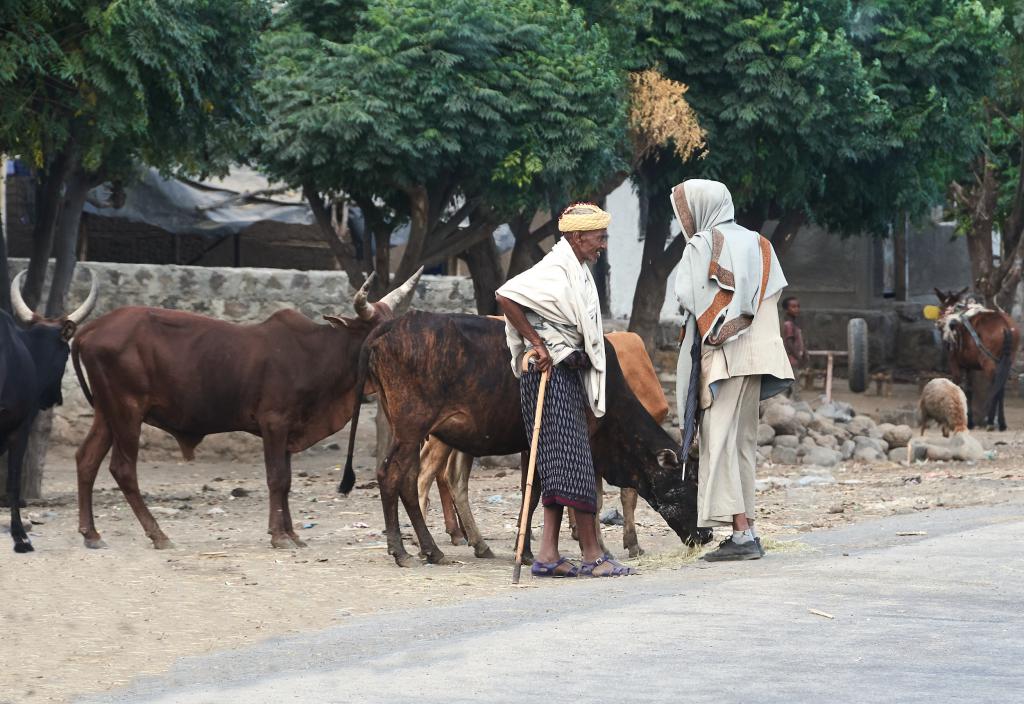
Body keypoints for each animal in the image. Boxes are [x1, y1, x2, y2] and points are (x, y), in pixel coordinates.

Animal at [70, 270, 419, 548]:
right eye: (376, 331)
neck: (318, 354)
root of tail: (89, 330)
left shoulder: (289, 429)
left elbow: (286, 480)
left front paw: (291, 534)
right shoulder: (273, 422)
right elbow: (277, 478)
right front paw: (279, 536)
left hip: (107, 413)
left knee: (87, 460)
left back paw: (91, 534)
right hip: (127, 411)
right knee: (123, 469)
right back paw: (158, 535)